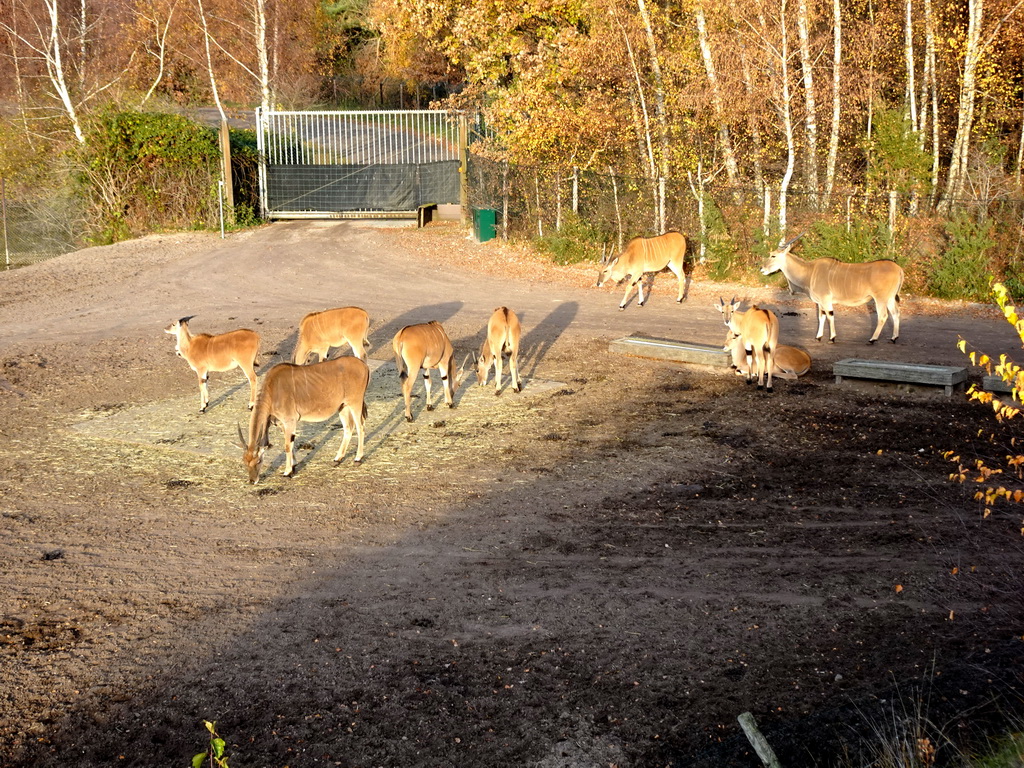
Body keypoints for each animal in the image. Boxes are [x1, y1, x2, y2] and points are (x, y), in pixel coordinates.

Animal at [237, 358, 370, 483]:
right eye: (245, 462)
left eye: (259, 460)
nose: (252, 481)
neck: (272, 389)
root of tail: (363, 365)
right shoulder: (283, 424)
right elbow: (290, 443)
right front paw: (294, 465)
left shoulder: (289, 421)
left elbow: (287, 446)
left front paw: (287, 472)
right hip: (343, 407)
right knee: (348, 428)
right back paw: (337, 459)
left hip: (355, 404)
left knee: (360, 427)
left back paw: (358, 458)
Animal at [761, 234, 905, 342]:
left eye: (773, 255)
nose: (762, 269)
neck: (810, 271)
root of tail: (899, 268)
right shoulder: (820, 302)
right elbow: (822, 317)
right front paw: (819, 337)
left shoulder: (825, 299)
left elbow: (830, 316)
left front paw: (832, 337)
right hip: (890, 298)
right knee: (896, 313)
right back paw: (894, 337)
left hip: (880, 298)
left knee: (883, 316)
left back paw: (873, 339)